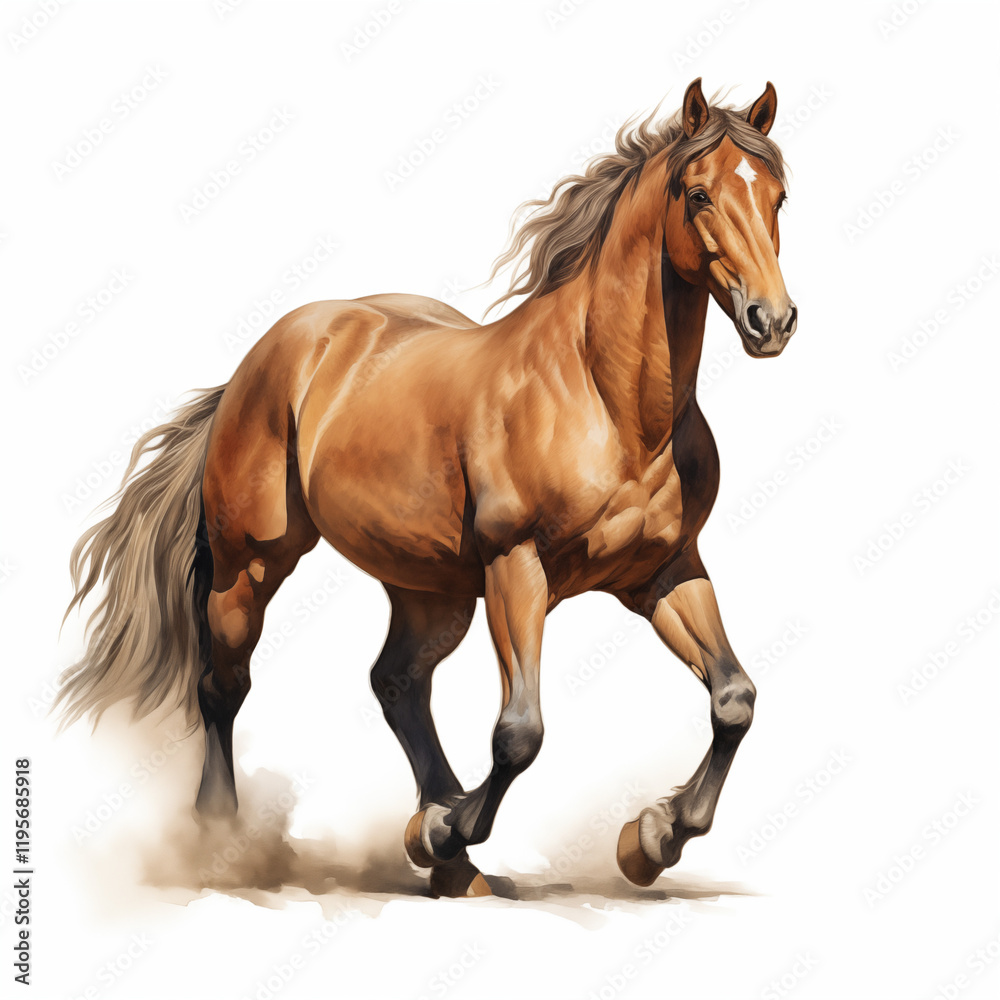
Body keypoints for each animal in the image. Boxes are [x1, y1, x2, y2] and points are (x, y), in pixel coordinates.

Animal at [58, 78, 797, 898]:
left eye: (779, 196)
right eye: (698, 195)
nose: (772, 321)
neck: (613, 408)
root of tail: (267, 356)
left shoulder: (664, 573)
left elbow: (733, 700)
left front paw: (651, 838)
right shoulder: (517, 567)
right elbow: (519, 734)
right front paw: (450, 825)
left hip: (429, 587)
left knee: (397, 682)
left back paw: (452, 859)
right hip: (249, 563)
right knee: (225, 685)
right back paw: (229, 841)